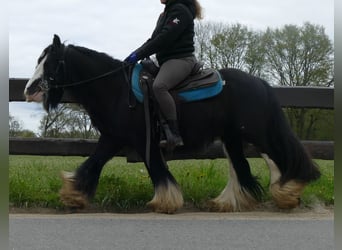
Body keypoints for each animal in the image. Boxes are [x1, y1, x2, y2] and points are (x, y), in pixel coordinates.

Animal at [24, 35, 320, 214]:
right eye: (38, 60)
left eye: (51, 62)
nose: (29, 90)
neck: (117, 89)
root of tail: (260, 82)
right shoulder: (112, 138)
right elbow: (92, 164)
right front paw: (73, 195)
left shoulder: (141, 139)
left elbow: (156, 169)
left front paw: (167, 201)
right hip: (232, 137)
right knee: (243, 168)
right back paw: (232, 201)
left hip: (255, 131)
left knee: (278, 155)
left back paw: (289, 190)